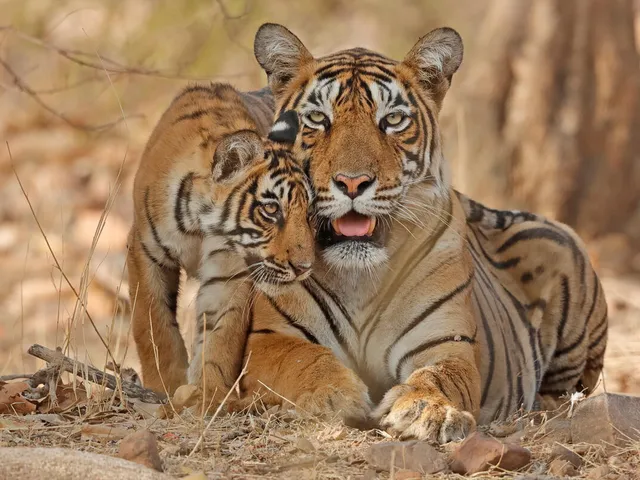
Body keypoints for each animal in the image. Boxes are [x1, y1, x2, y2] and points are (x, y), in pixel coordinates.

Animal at [126, 82, 316, 407]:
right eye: (271, 209)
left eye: (309, 213)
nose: (304, 267)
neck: (199, 225)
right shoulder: (144, 251)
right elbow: (152, 324)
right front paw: (164, 386)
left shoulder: (230, 271)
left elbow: (220, 334)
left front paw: (209, 394)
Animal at [218, 23, 608, 443]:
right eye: (318, 118)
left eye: (392, 120)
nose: (352, 182)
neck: (360, 278)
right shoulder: (270, 338)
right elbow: (303, 361)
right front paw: (335, 395)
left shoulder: (446, 343)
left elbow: (438, 377)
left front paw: (426, 410)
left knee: (567, 392)